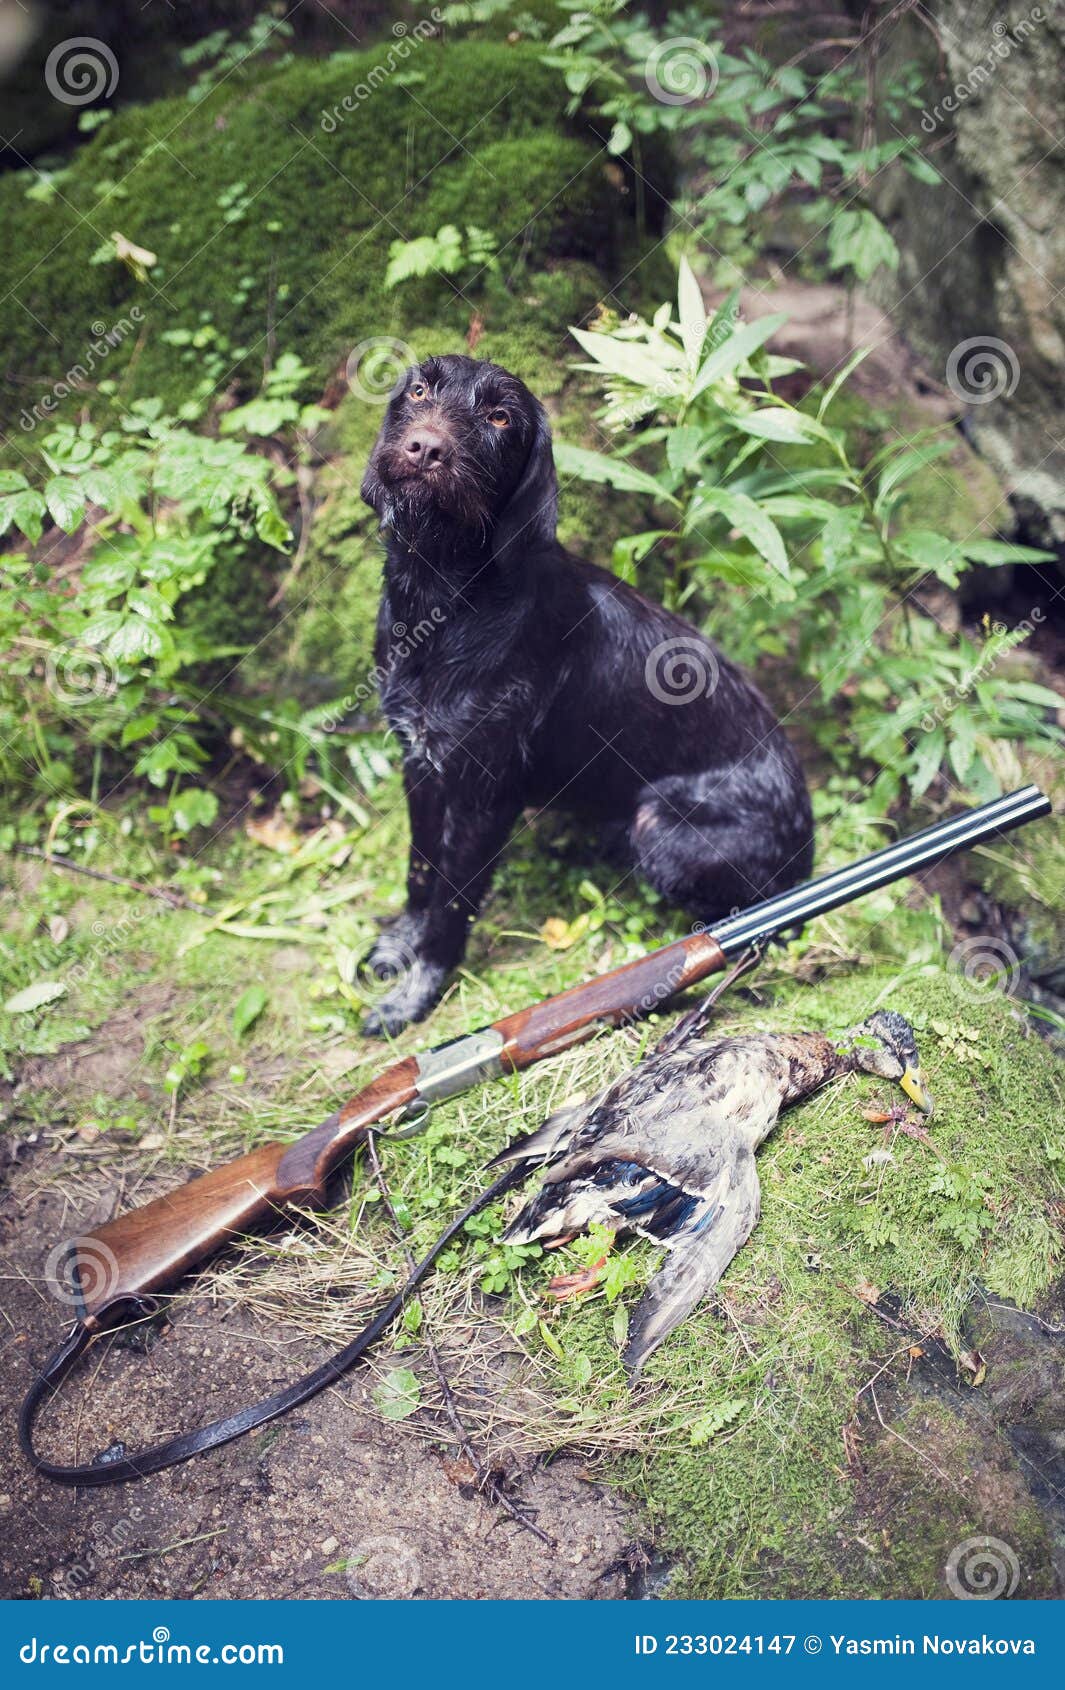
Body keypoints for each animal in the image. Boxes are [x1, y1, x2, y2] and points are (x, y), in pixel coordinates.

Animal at [361, 356, 818, 1027]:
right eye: (419, 390)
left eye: (501, 417)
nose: (425, 447)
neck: (443, 602)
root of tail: (808, 837)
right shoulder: (420, 762)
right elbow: (421, 872)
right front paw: (400, 946)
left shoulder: (484, 794)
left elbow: (451, 902)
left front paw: (416, 996)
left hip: (660, 824)